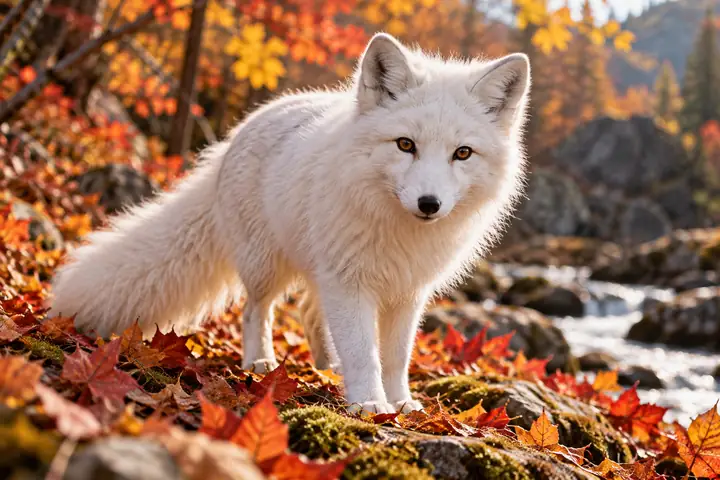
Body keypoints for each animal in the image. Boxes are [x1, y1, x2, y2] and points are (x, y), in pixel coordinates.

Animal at [48, 32, 531, 414]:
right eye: (405, 145)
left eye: (462, 153)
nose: (429, 204)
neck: (401, 232)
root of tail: (234, 137)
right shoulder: (350, 282)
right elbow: (364, 353)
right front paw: (369, 403)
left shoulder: (407, 294)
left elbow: (395, 358)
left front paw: (400, 402)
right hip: (269, 267)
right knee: (255, 310)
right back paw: (261, 362)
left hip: (319, 269)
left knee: (309, 312)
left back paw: (326, 366)